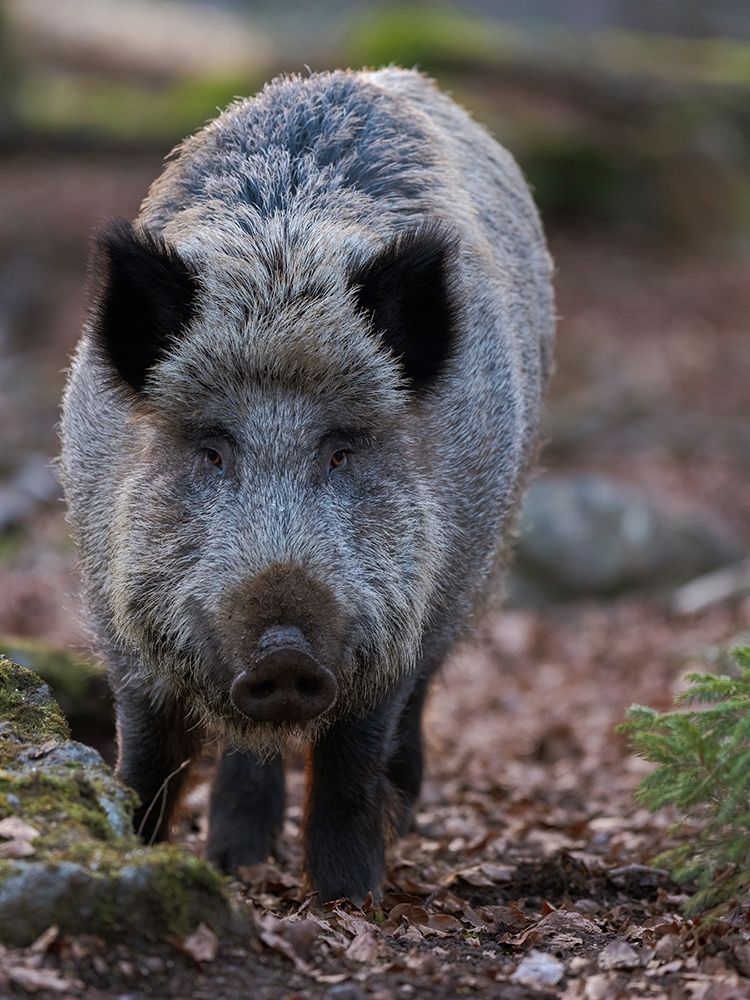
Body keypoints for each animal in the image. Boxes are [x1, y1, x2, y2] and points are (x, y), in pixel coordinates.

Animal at [60, 68, 554, 903]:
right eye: (212, 450)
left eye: (342, 451)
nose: (284, 652)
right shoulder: (115, 607)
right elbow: (148, 755)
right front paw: (141, 854)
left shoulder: (399, 610)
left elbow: (351, 760)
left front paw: (350, 900)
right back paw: (239, 858)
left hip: (475, 566)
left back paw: (397, 823)